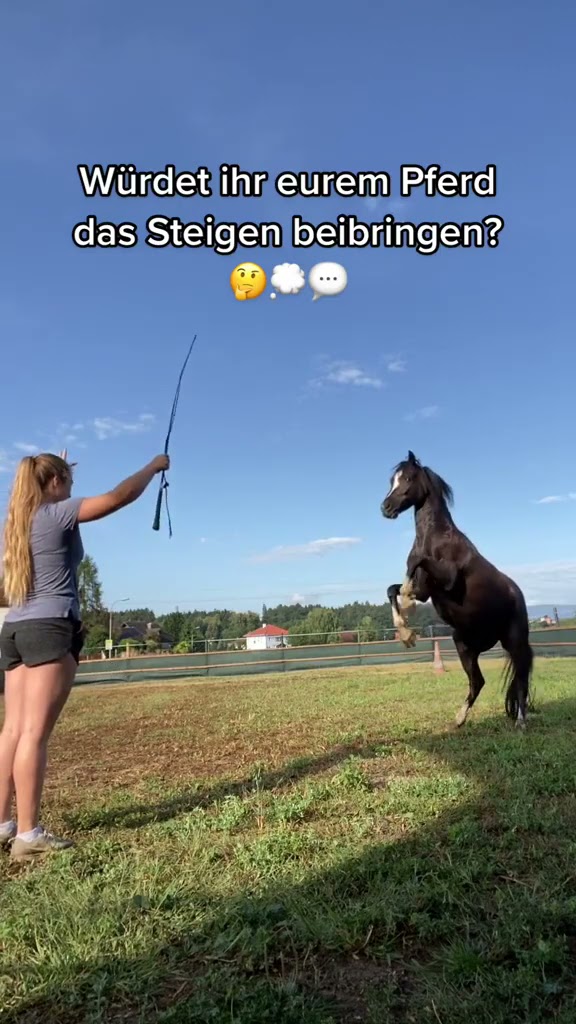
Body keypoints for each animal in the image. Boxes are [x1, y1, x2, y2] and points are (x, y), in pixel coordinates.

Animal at [379, 450, 532, 729]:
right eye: (391, 480)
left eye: (407, 478)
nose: (385, 508)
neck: (437, 540)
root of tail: (517, 594)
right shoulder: (427, 591)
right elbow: (391, 590)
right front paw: (406, 633)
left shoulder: (448, 579)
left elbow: (414, 563)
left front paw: (407, 602)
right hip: (463, 643)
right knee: (478, 681)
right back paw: (459, 720)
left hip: (515, 641)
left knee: (521, 678)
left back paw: (520, 723)